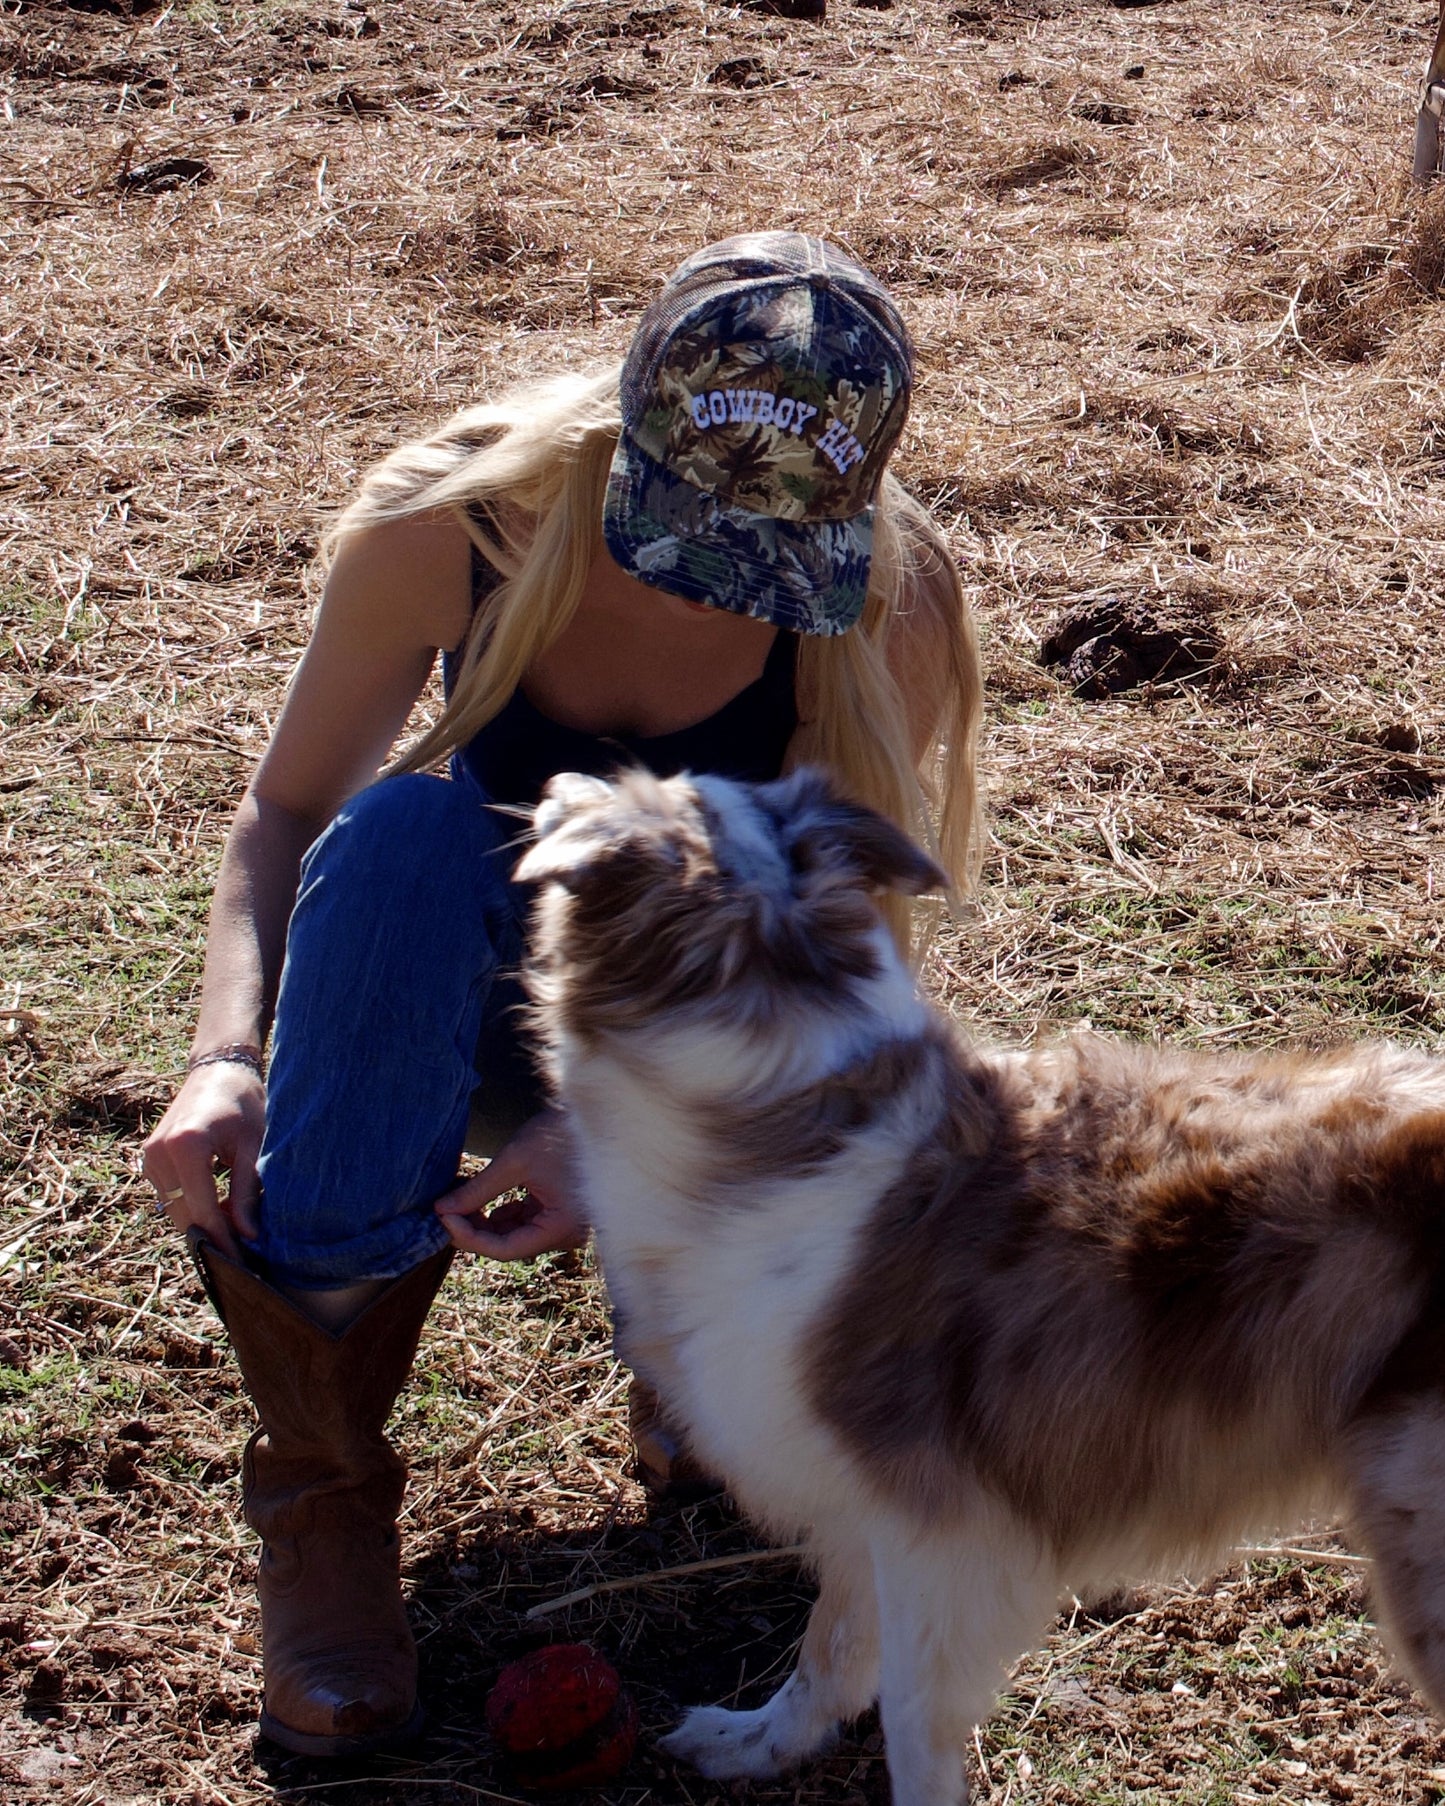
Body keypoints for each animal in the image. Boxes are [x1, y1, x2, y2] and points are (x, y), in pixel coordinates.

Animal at [520, 765, 1445, 1806]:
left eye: (636, 786)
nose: (550, 777)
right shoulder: (864, 1508)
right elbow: (828, 1651)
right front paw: (757, 1742)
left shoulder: (944, 1537)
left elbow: (909, 1720)